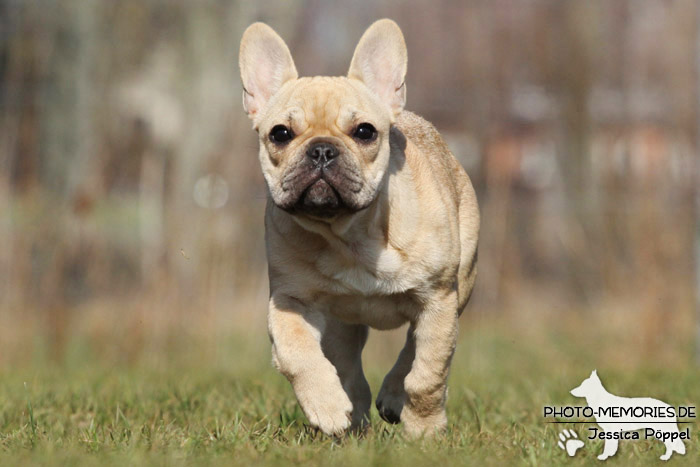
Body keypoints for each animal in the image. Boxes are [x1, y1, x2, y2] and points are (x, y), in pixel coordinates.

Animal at [238, 17, 478, 436]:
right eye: (280, 134)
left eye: (364, 131)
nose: (321, 149)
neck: (350, 235)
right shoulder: (290, 301)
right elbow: (296, 353)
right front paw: (328, 406)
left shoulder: (437, 298)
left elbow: (428, 373)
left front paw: (425, 429)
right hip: (341, 326)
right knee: (347, 366)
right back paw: (352, 417)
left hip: (459, 286)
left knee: (414, 348)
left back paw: (395, 398)